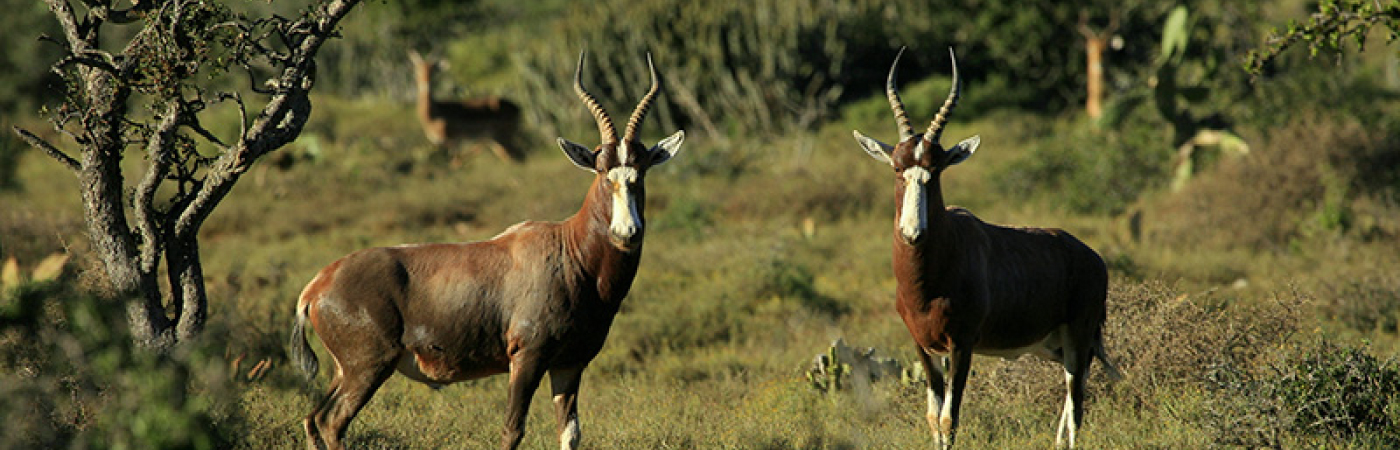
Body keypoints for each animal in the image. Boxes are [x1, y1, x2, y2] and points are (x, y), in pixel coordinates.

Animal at [290, 52, 684, 450]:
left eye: (641, 171)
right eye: (602, 172)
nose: (626, 233)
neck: (569, 252)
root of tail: (316, 287)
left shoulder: (569, 364)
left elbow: (570, 434)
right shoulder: (527, 358)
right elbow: (512, 429)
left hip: (344, 371)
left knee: (312, 419)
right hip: (367, 368)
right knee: (332, 422)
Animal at [851, 48, 1120, 449]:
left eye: (936, 170)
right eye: (898, 168)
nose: (913, 233)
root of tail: (1093, 259)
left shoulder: (962, 344)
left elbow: (950, 419)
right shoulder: (923, 346)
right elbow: (933, 419)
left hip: (1079, 335)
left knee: (1077, 408)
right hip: (1055, 345)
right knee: (1072, 399)